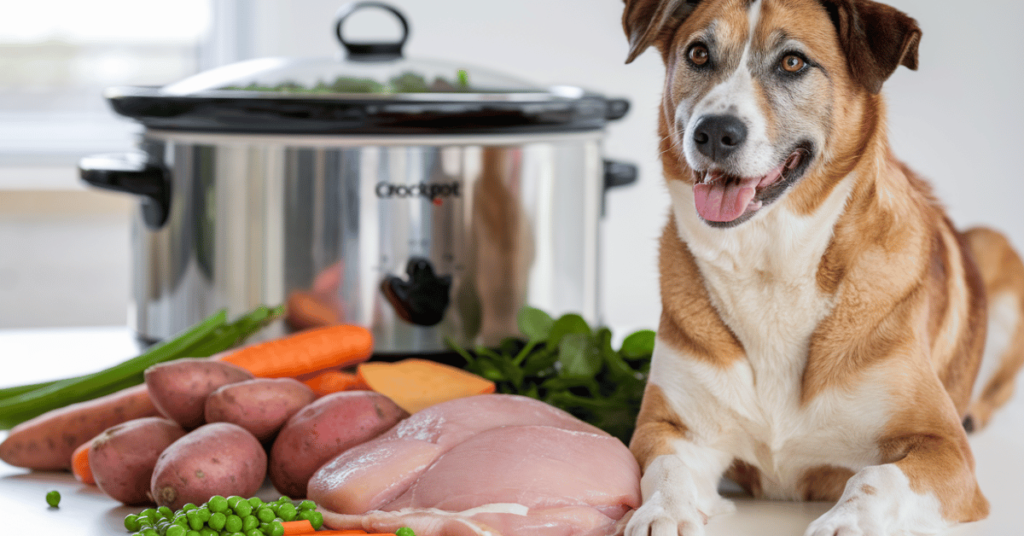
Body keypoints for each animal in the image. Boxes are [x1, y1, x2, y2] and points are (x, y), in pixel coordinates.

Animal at [614, 0, 1024, 532]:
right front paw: (661, 513)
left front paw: (846, 522)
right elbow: (665, 468)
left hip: (995, 248)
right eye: (698, 54)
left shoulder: (945, 449)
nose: (715, 132)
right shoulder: (670, 427)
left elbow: (876, 476)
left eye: (793, 62)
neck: (773, 268)